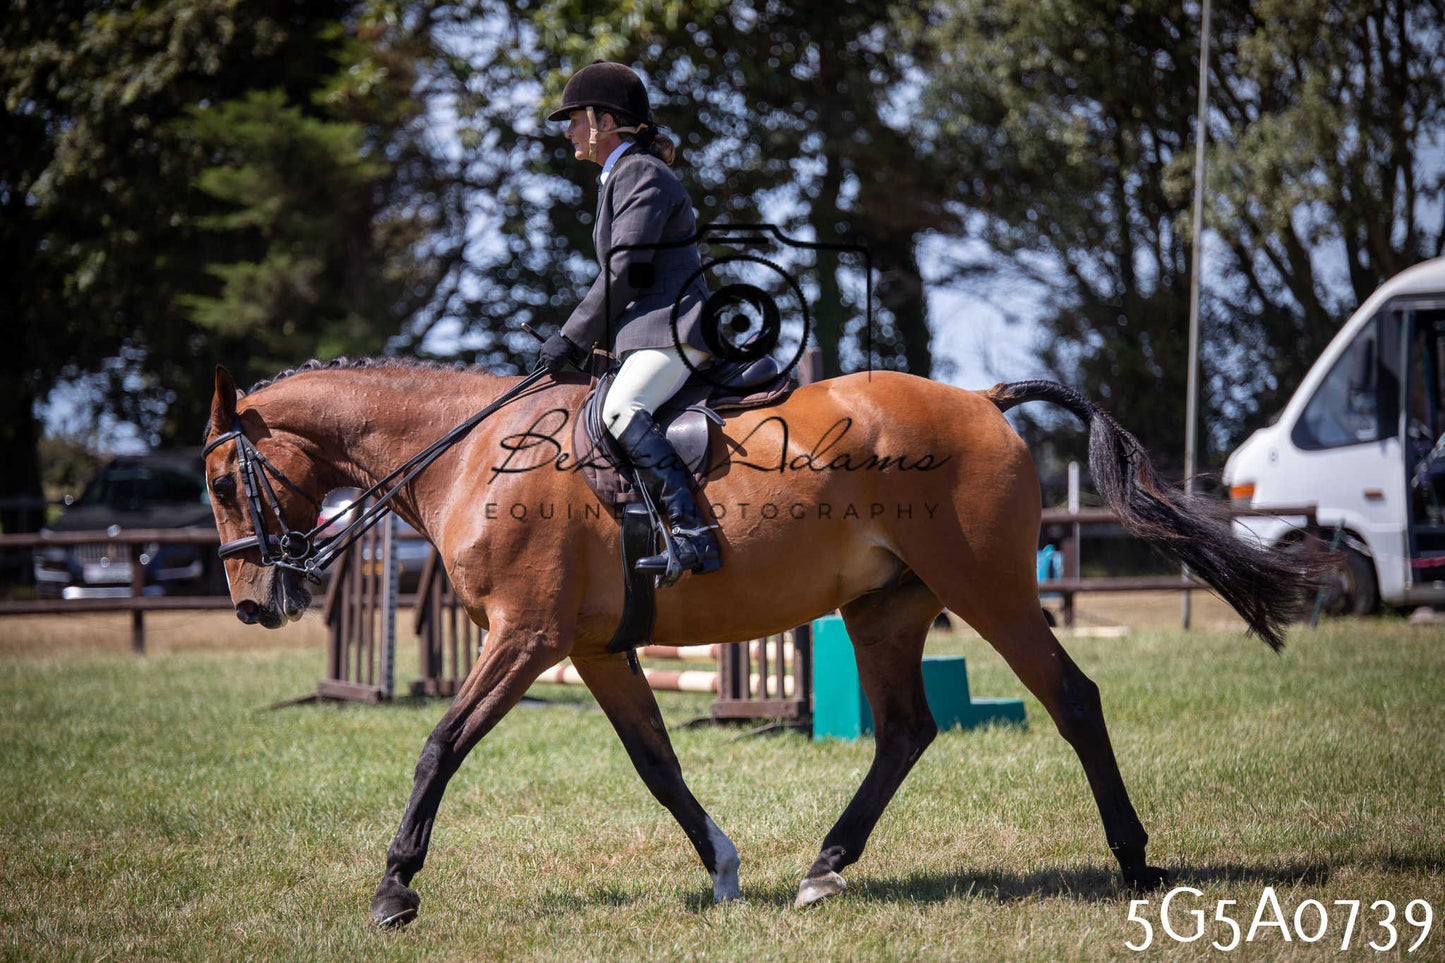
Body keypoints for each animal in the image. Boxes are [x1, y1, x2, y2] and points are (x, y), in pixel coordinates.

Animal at [200, 358, 1311, 926]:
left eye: (219, 480)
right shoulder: (595, 650)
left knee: (1071, 699)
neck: (470, 452)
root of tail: (982, 401)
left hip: (985, 588)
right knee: (904, 730)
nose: (254, 604)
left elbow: (439, 744)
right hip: (885, 608)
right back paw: (823, 865)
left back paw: (1134, 865)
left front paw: (395, 887)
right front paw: (726, 869)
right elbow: (657, 765)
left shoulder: (527, 636)